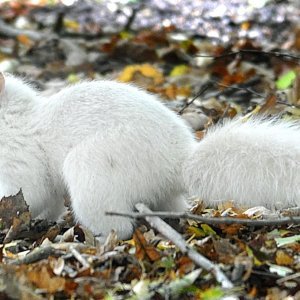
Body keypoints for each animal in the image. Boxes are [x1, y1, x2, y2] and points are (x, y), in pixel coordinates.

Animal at [0, 72, 300, 239]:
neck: (14, 117)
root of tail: (178, 166)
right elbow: (49, 202)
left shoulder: (20, 158)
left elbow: (29, 192)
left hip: (93, 168)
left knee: (118, 228)